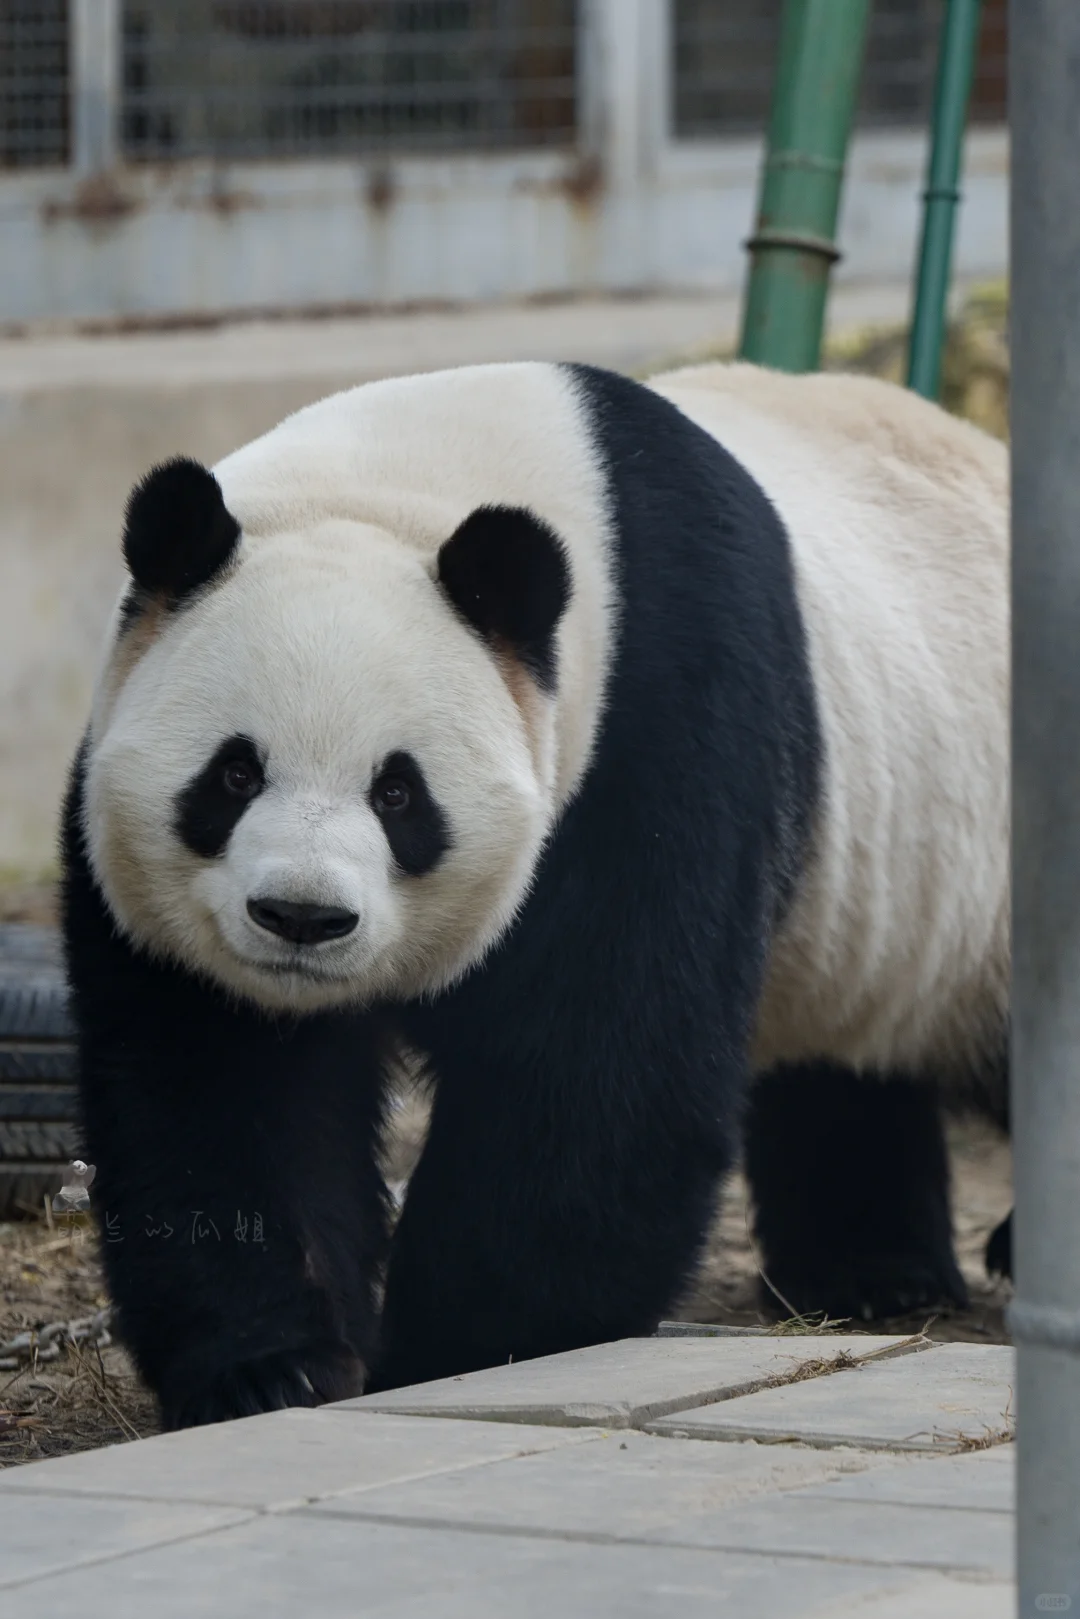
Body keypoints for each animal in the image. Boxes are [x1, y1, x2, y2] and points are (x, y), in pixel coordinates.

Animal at [61, 361, 1003, 1424]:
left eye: (398, 792)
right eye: (232, 774)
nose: (302, 918)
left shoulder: (657, 730)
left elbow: (601, 1081)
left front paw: (459, 1351)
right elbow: (218, 1088)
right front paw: (273, 1369)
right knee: (846, 1066)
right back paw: (872, 1274)